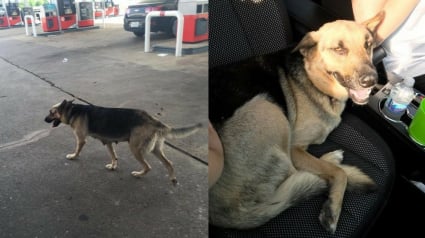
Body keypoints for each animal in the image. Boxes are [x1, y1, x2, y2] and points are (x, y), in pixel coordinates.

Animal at [44, 99, 202, 185]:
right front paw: (113, 166)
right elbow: (114, 156)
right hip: (155, 149)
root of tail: (153, 120)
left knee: (148, 166)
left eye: (51, 112)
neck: (72, 110)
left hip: (135, 148)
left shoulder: (81, 140)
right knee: (169, 164)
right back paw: (173, 179)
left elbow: (77, 149)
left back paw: (138, 174)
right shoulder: (108, 142)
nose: (44, 119)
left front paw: (73, 156)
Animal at [209, 12, 384, 233]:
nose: (371, 81)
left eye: (368, 45)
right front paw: (333, 208)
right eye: (339, 49)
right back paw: (332, 160)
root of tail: (222, 215)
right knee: (297, 172)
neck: (313, 79)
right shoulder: (295, 147)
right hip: (267, 107)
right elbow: (337, 174)